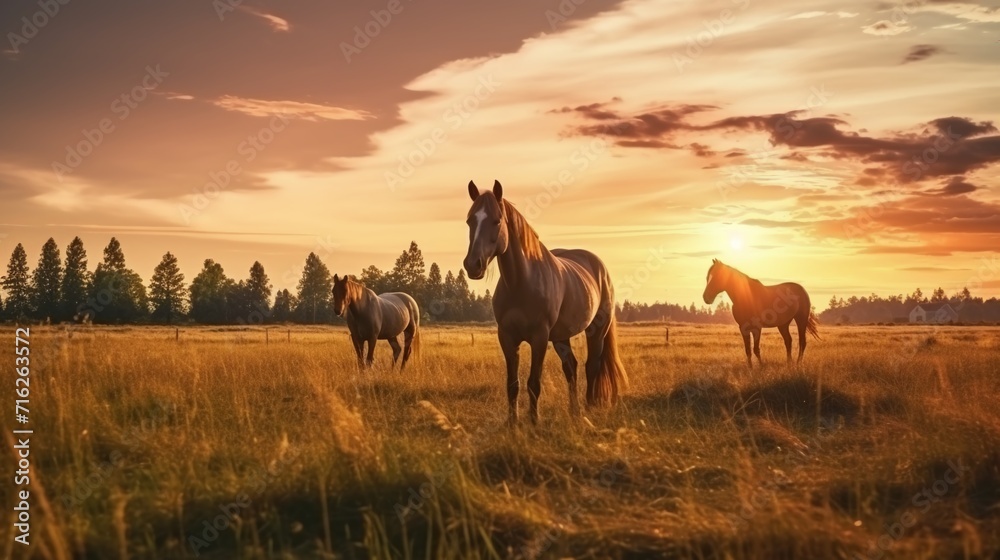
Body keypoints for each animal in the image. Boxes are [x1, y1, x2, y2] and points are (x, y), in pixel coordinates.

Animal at [460, 179, 624, 424]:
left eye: (497, 220)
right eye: (470, 220)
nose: (473, 265)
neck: (521, 284)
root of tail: (598, 266)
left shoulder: (539, 338)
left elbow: (533, 383)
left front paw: (534, 422)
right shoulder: (507, 337)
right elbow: (513, 384)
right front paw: (513, 423)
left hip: (596, 331)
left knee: (591, 366)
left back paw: (588, 407)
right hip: (562, 336)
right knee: (571, 367)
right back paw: (574, 410)